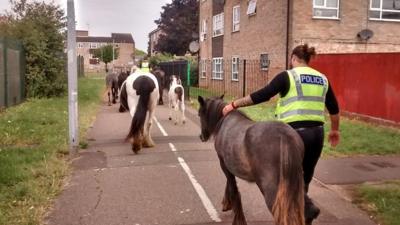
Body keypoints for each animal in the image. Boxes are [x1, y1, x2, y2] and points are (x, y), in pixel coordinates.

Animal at [198, 95, 304, 225]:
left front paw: (237, 216)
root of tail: (285, 137)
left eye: (199, 114)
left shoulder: (223, 164)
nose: (201, 137)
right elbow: (231, 185)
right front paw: (227, 204)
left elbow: (233, 189)